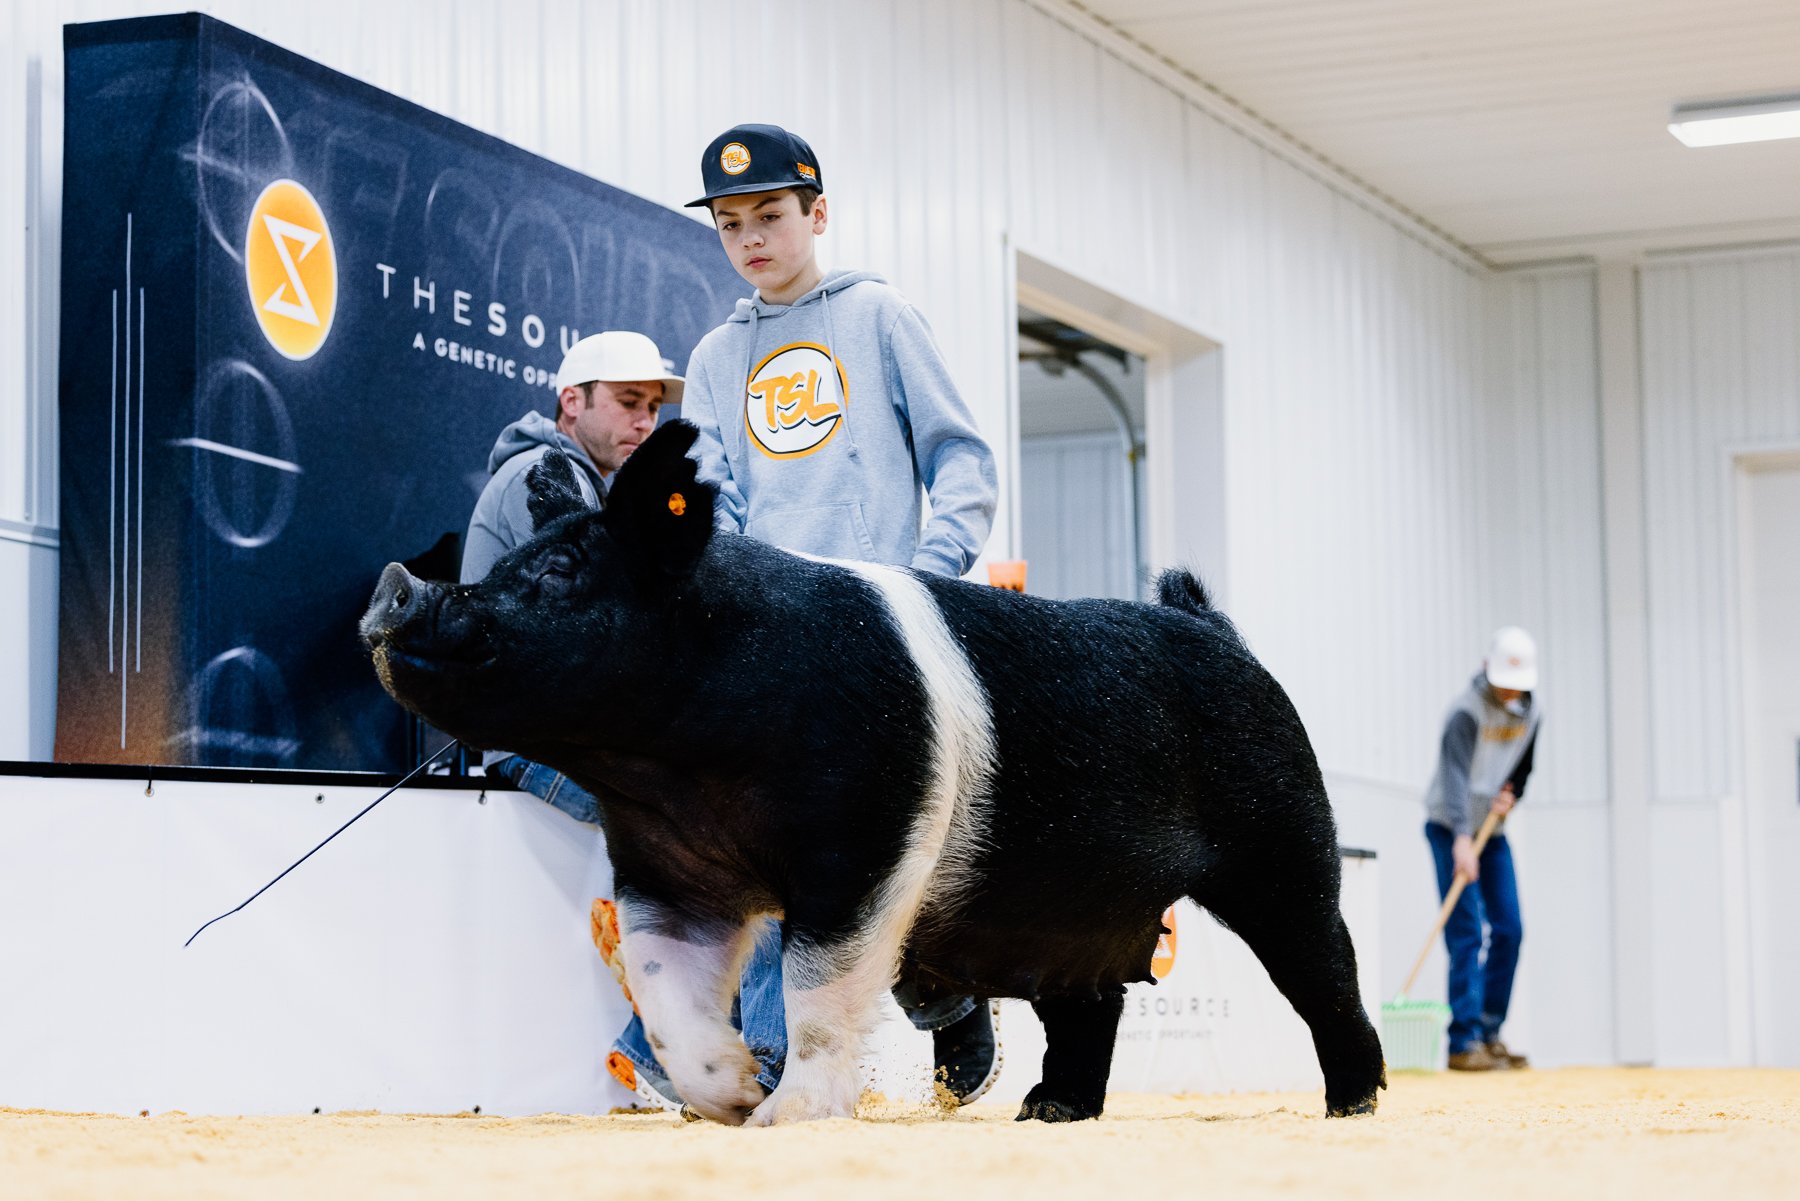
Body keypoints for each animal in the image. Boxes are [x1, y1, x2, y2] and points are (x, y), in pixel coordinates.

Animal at [360, 419, 1386, 1127]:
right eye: (512, 563)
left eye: (563, 570)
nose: (395, 585)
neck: (674, 768)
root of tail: (1215, 627)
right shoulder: (664, 869)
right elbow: (662, 989)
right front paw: (730, 1097)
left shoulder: (867, 839)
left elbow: (817, 985)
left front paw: (783, 1118)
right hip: (1073, 901)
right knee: (1090, 1003)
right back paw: (1048, 1112)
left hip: (1285, 844)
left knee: (1325, 972)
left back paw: (1353, 1104)